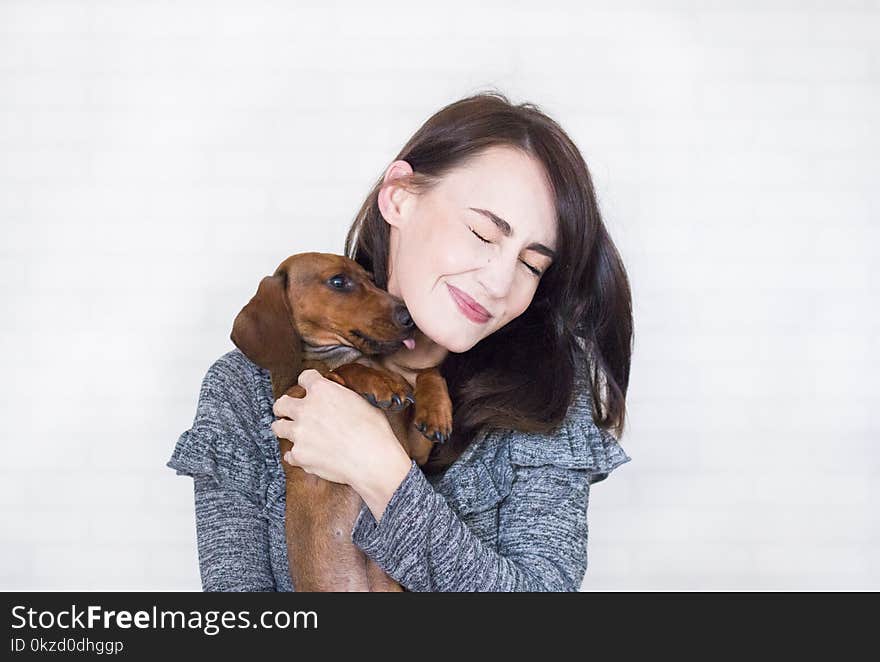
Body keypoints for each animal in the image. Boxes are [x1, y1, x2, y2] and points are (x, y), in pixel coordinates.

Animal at [230, 253, 450, 592]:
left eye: (371, 278)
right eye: (338, 281)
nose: (410, 318)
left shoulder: (415, 451)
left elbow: (428, 373)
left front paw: (436, 411)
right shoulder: (297, 397)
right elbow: (341, 371)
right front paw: (382, 383)